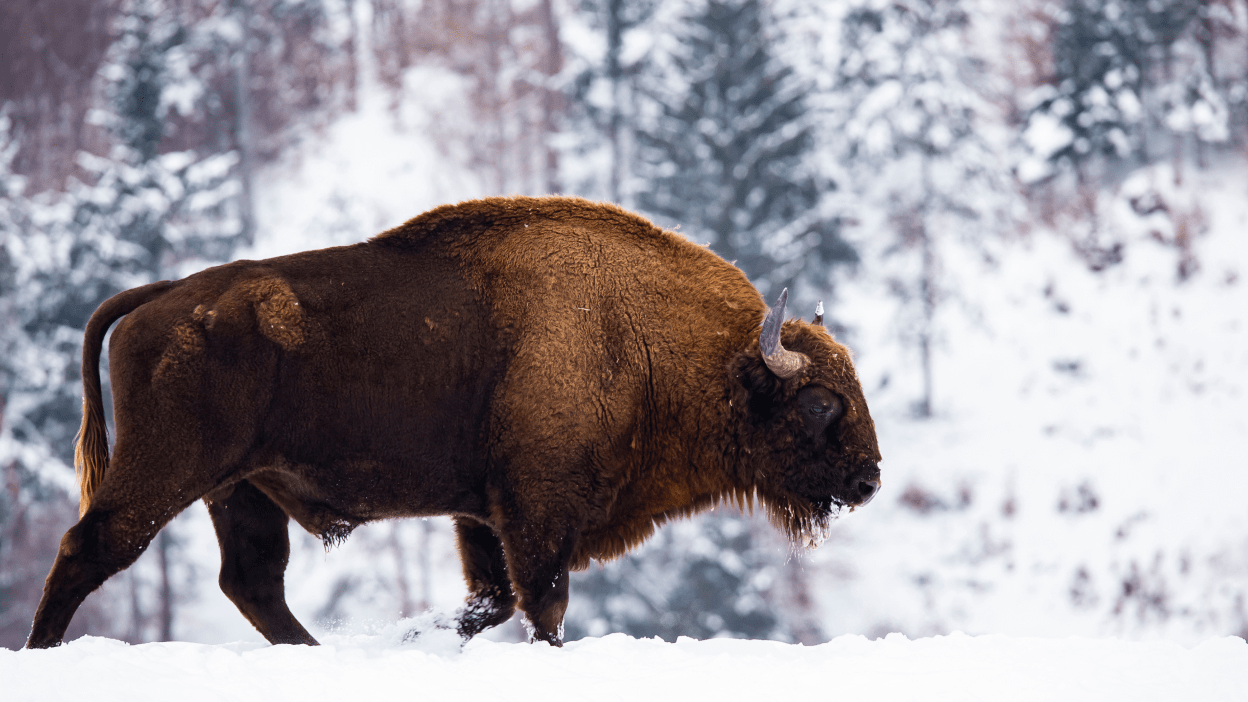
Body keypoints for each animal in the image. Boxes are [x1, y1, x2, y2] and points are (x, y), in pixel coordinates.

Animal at [31, 193, 888, 649]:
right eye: (821, 402)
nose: (870, 478)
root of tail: (163, 296)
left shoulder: (482, 517)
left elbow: (490, 602)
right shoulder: (536, 513)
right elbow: (542, 604)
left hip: (238, 488)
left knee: (251, 583)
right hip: (170, 469)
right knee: (90, 549)